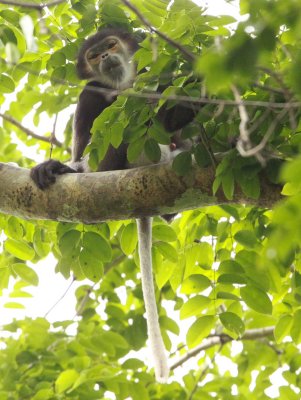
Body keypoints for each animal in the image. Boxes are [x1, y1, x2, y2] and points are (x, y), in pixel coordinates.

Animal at [29, 26, 195, 382]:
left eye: (110, 45)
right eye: (94, 56)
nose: (105, 56)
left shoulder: (151, 69)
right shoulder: (90, 92)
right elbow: (84, 137)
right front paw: (63, 167)